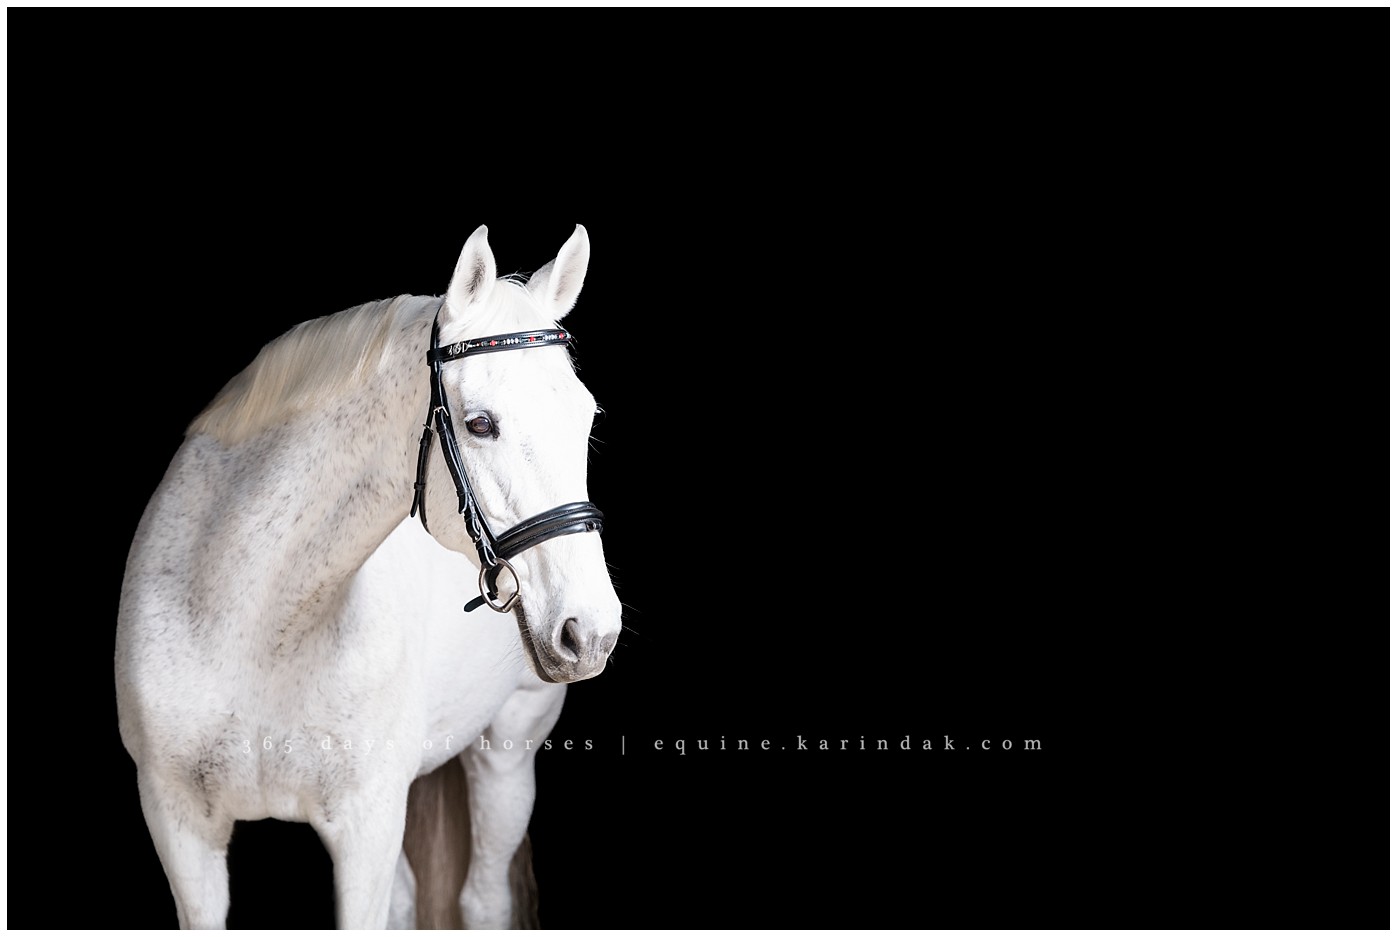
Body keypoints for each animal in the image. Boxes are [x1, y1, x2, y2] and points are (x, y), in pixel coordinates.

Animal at [114, 224, 622, 929]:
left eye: (587, 418)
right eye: (480, 423)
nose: (591, 630)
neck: (254, 628)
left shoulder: (368, 826)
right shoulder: (179, 825)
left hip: (509, 749)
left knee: (482, 899)